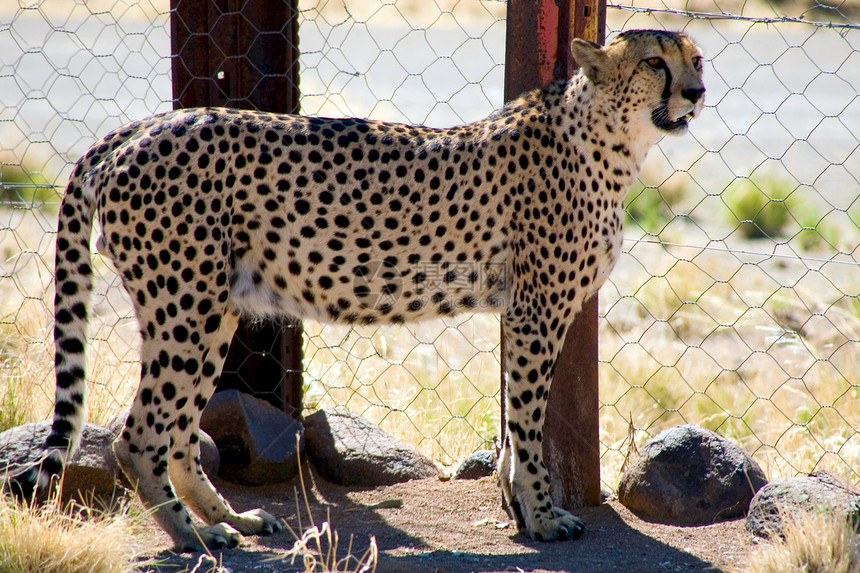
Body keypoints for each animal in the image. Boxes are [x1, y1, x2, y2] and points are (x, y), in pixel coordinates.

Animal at [8, 31, 704, 548]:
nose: (697, 92)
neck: (610, 136)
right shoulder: (536, 313)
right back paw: (192, 537)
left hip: (211, 310)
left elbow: (512, 422)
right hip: (185, 306)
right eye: (654, 62)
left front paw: (517, 507)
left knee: (177, 430)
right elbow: (528, 424)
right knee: (141, 434)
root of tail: (143, 126)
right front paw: (540, 516)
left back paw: (230, 520)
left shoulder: (516, 313)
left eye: (695, 59)